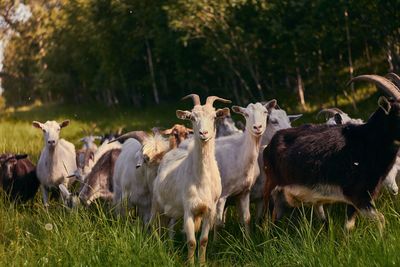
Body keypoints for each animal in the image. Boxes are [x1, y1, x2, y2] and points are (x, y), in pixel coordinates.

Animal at [264, 74, 400, 232]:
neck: (367, 142)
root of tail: (269, 145)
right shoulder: (358, 195)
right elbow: (381, 219)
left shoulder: (355, 200)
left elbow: (348, 226)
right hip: (271, 186)